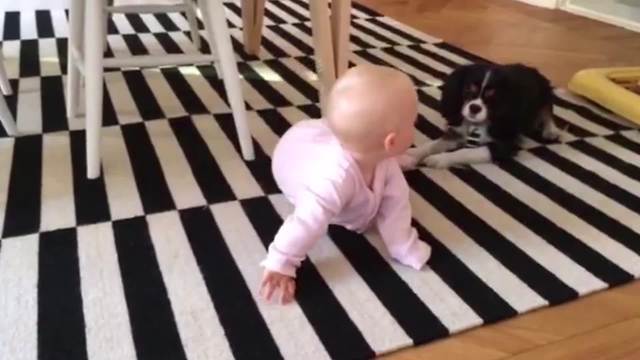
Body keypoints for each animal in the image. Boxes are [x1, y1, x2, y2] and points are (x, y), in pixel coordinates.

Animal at [404, 62, 560, 169]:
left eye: (492, 95)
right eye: (468, 89)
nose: (474, 108)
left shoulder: (503, 145)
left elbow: (465, 152)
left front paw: (438, 159)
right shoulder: (457, 133)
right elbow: (433, 144)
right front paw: (412, 154)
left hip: (546, 94)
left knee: (548, 112)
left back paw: (551, 131)